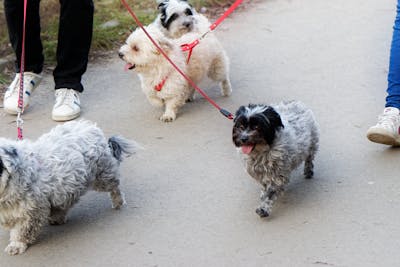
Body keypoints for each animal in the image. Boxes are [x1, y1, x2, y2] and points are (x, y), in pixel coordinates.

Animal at [0, 121, 138, 255]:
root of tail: (92, 128)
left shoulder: (31, 212)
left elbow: (21, 231)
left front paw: (16, 245)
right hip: (69, 183)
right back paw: (58, 216)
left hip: (102, 176)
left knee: (115, 187)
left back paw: (118, 201)